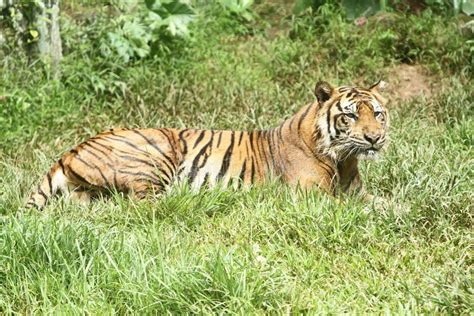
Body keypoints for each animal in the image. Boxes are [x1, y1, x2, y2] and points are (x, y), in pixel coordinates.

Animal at [25, 80, 388, 210]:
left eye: (377, 114)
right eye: (349, 116)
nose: (374, 137)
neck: (343, 159)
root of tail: (71, 150)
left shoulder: (357, 189)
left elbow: (386, 202)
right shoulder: (309, 195)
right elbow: (349, 210)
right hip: (155, 156)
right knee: (139, 205)